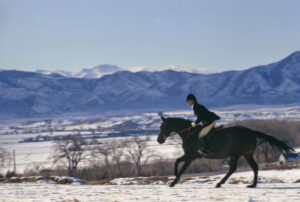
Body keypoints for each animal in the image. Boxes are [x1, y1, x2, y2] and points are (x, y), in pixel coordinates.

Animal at [157, 116, 292, 189]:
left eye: (163, 126)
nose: (159, 140)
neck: (189, 134)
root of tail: (251, 132)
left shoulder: (191, 155)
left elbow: (178, 164)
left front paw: (175, 180)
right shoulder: (190, 157)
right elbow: (180, 165)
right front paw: (175, 181)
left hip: (236, 154)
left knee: (233, 168)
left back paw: (219, 183)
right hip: (246, 154)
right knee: (254, 167)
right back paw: (252, 185)